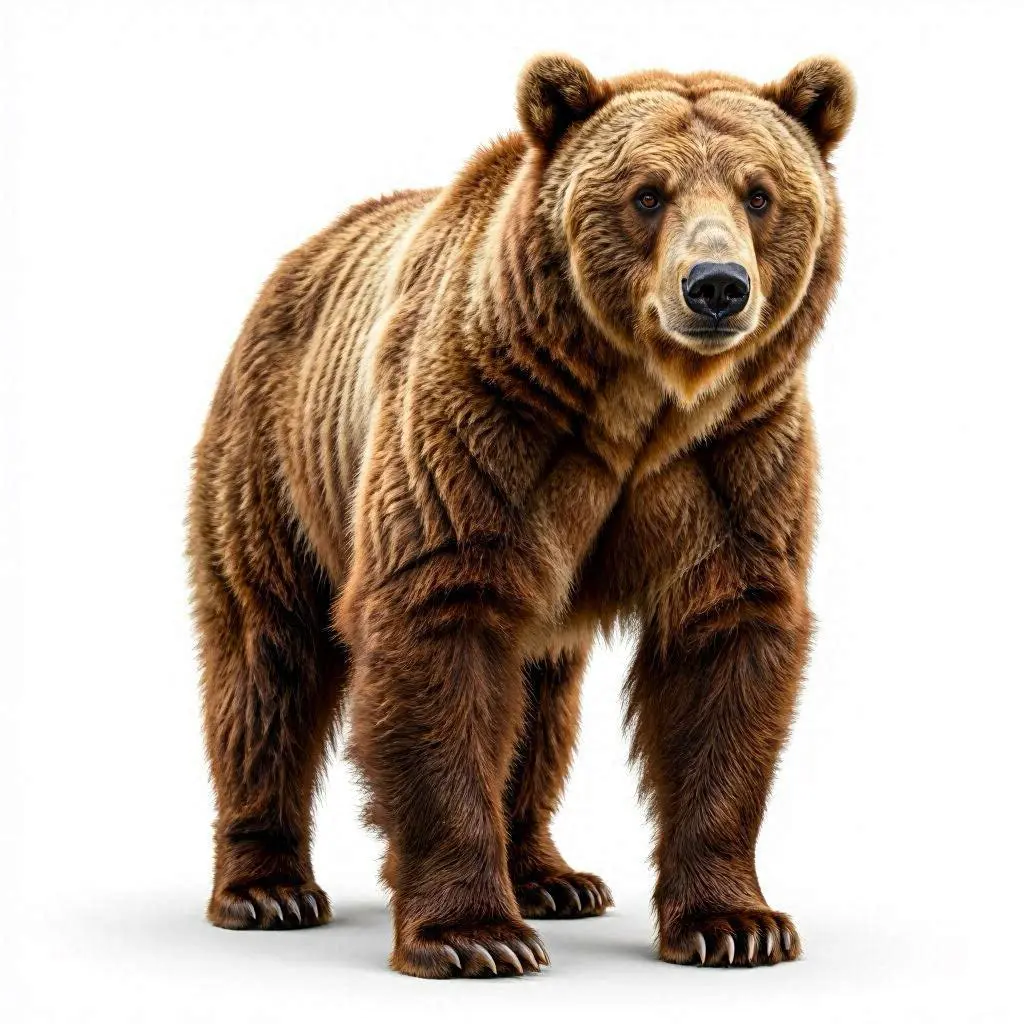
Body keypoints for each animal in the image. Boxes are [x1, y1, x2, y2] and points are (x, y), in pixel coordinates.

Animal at [188, 52, 854, 978]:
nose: (717, 287)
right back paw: (268, 888)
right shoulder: (484, 426)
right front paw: (473, 934)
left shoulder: (735, 456)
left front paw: (737, 923)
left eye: (759, 194)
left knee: (540, 699)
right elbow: (441, 621)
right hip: (279, 454)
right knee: (266, 656)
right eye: (648, 193)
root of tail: (300, 254)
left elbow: (725, 645)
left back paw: (550, 876)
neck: (639, 406)